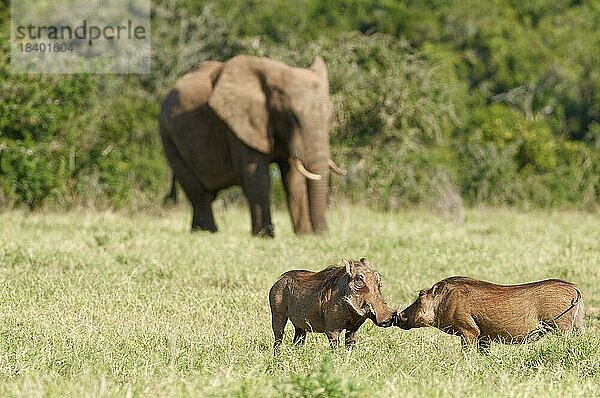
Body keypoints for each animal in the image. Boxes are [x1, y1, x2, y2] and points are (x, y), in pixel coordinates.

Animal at [158, 55, 342, 236]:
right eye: (291, 117)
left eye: (330, 116)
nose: (322, 233)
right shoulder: (237, 125)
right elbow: (257, 175)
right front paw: (264, 236)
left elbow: (293, 178)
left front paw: (304, 235)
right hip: (167, 136)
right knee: (197, 192)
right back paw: (207, 232)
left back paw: (198, 231)